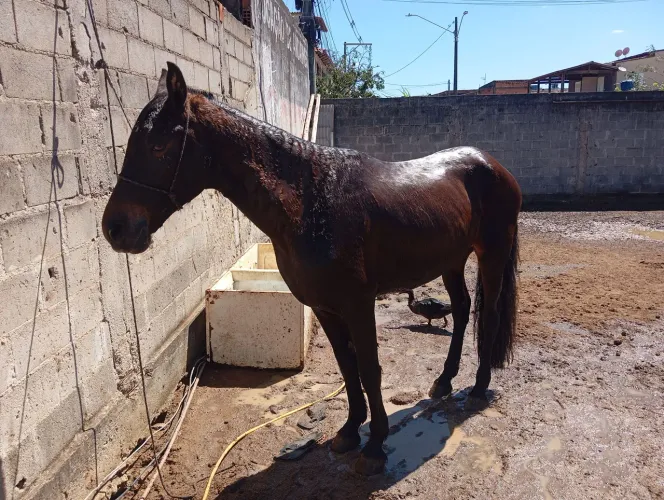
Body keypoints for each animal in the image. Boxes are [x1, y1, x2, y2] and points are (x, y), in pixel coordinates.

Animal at [102, 63, 522, 476]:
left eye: (158, 146)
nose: (115, 229)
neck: (312, 202)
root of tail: (494, 165)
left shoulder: (358, 304)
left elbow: (369, 368)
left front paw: (375, 445)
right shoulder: (324, 307)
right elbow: (347, 367)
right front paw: (350, 430)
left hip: (491, 256)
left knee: (488, 315)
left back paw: (479, 386)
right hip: (452, 261)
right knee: (463, 310)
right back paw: (444, 381)